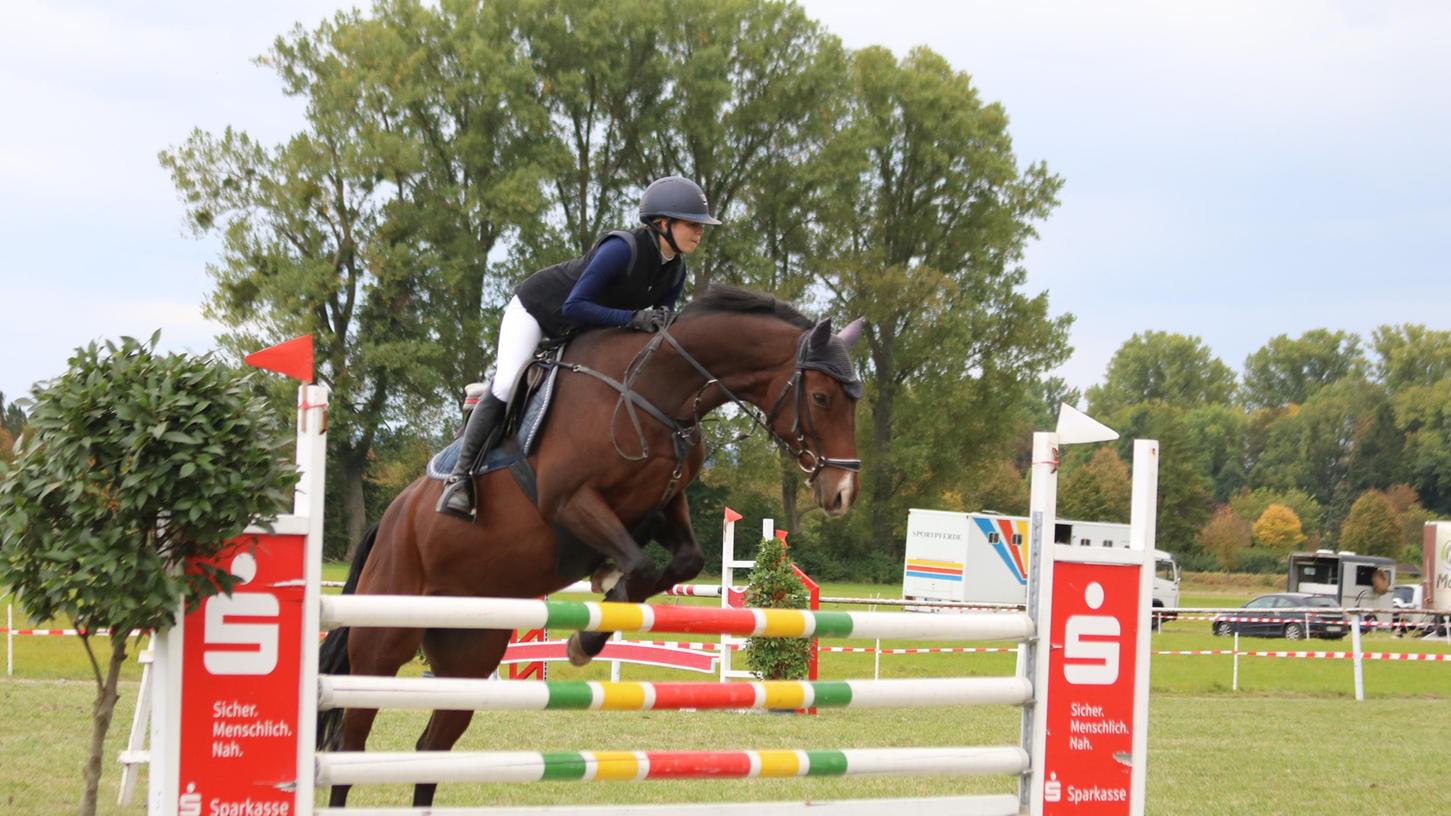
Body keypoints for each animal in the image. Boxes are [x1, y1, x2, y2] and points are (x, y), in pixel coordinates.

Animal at [317, 283, 858, 801]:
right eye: (822, 398)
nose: (842, 493)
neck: (652, 390)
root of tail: (390, 520)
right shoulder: (570, 500)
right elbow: (641, 565)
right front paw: (589, 630)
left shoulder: (663, 505)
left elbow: (683, 561)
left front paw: (603, 600)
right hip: (383, 640)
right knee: (350, 744)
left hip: (468, 649)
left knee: (431, 749)